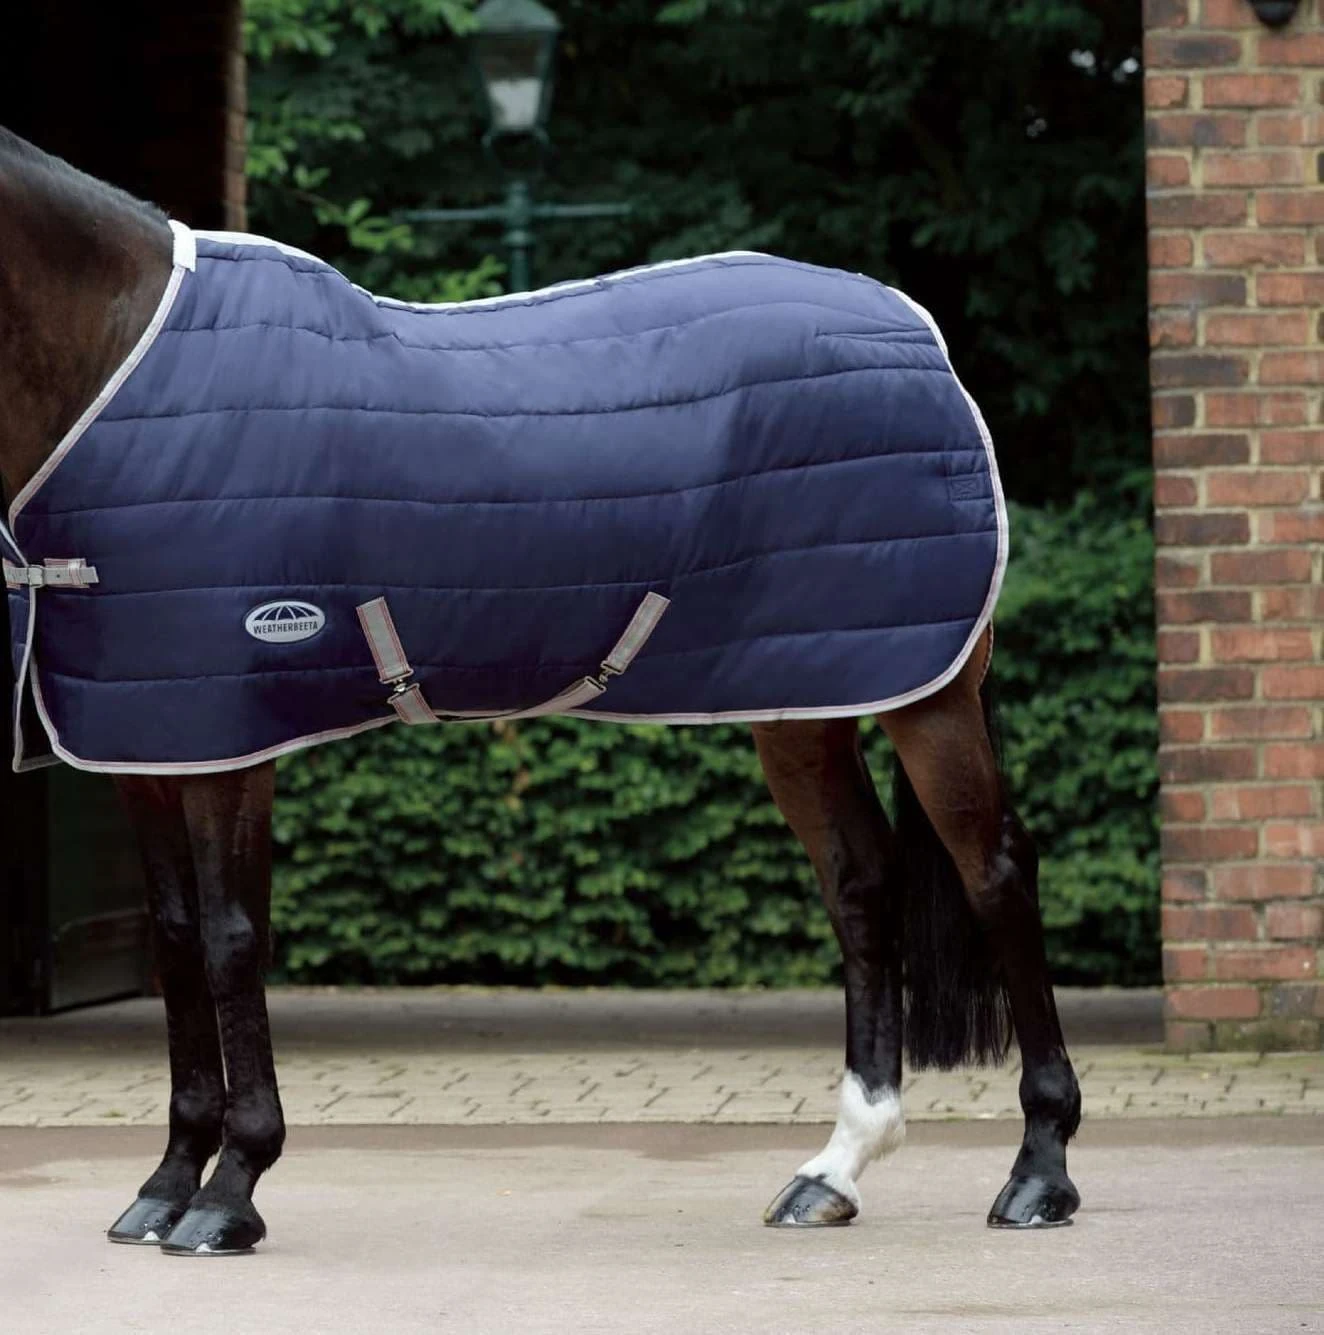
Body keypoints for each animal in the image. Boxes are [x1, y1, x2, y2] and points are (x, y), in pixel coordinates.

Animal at [0, 126, 1080, 1256]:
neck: (120, 362)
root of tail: (920, 338)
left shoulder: (229, 743)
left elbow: (228, 939)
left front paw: (230, 1191)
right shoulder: (144, 744)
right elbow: (173, 942)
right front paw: (166, 1183)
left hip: (927, 697)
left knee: (995, 872)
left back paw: (1038, 1172)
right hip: (803, 703)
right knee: (862, 881)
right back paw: (834, 1169)